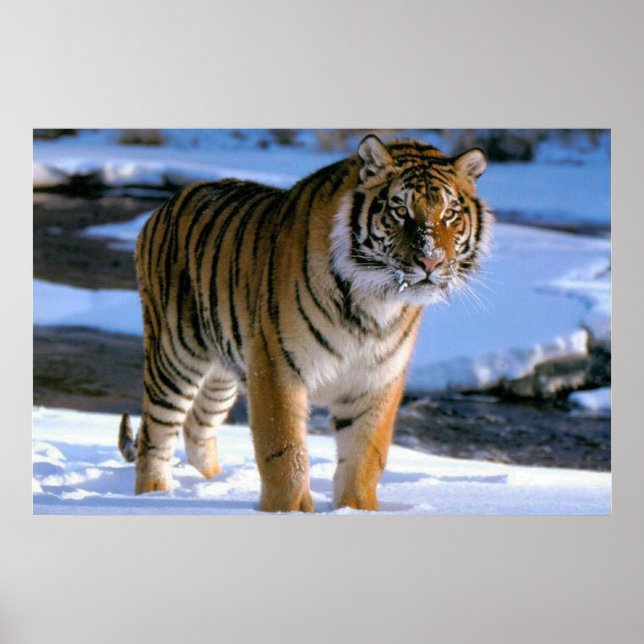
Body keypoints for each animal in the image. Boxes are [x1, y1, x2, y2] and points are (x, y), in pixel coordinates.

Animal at [118, 133, 493, 512]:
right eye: (400, 210)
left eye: (449, 214)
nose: (430, 261)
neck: (375, 300)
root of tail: (165, 204)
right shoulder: (276, 365)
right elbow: (284, 450)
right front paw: (290, 510)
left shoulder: (376, 378)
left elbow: (365, 455)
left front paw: (355, 509)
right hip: (176, 353)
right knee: (155, 434)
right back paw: (154, 496)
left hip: (223, 371)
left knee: (198, 427)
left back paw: (211, 484)